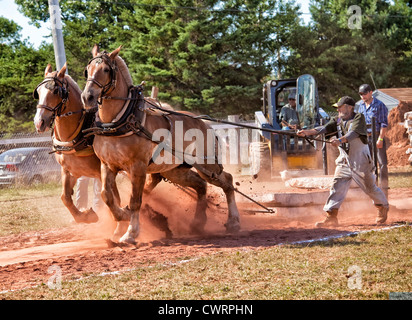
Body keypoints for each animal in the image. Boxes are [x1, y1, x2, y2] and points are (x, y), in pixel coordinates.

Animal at [81, 45, 241, 244]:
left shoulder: (138, 167)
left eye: (105, 70)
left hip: (207, 165)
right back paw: (198, 223)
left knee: (227, 181)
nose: (87, 97)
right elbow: (107, 196)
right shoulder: (107, 165)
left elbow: (135, 200)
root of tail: (205, 124)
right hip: (175, 170)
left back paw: (233, 221)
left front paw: (131, 233)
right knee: (201, 186)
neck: (119, 121)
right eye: (87, 70)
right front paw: (122, 215)